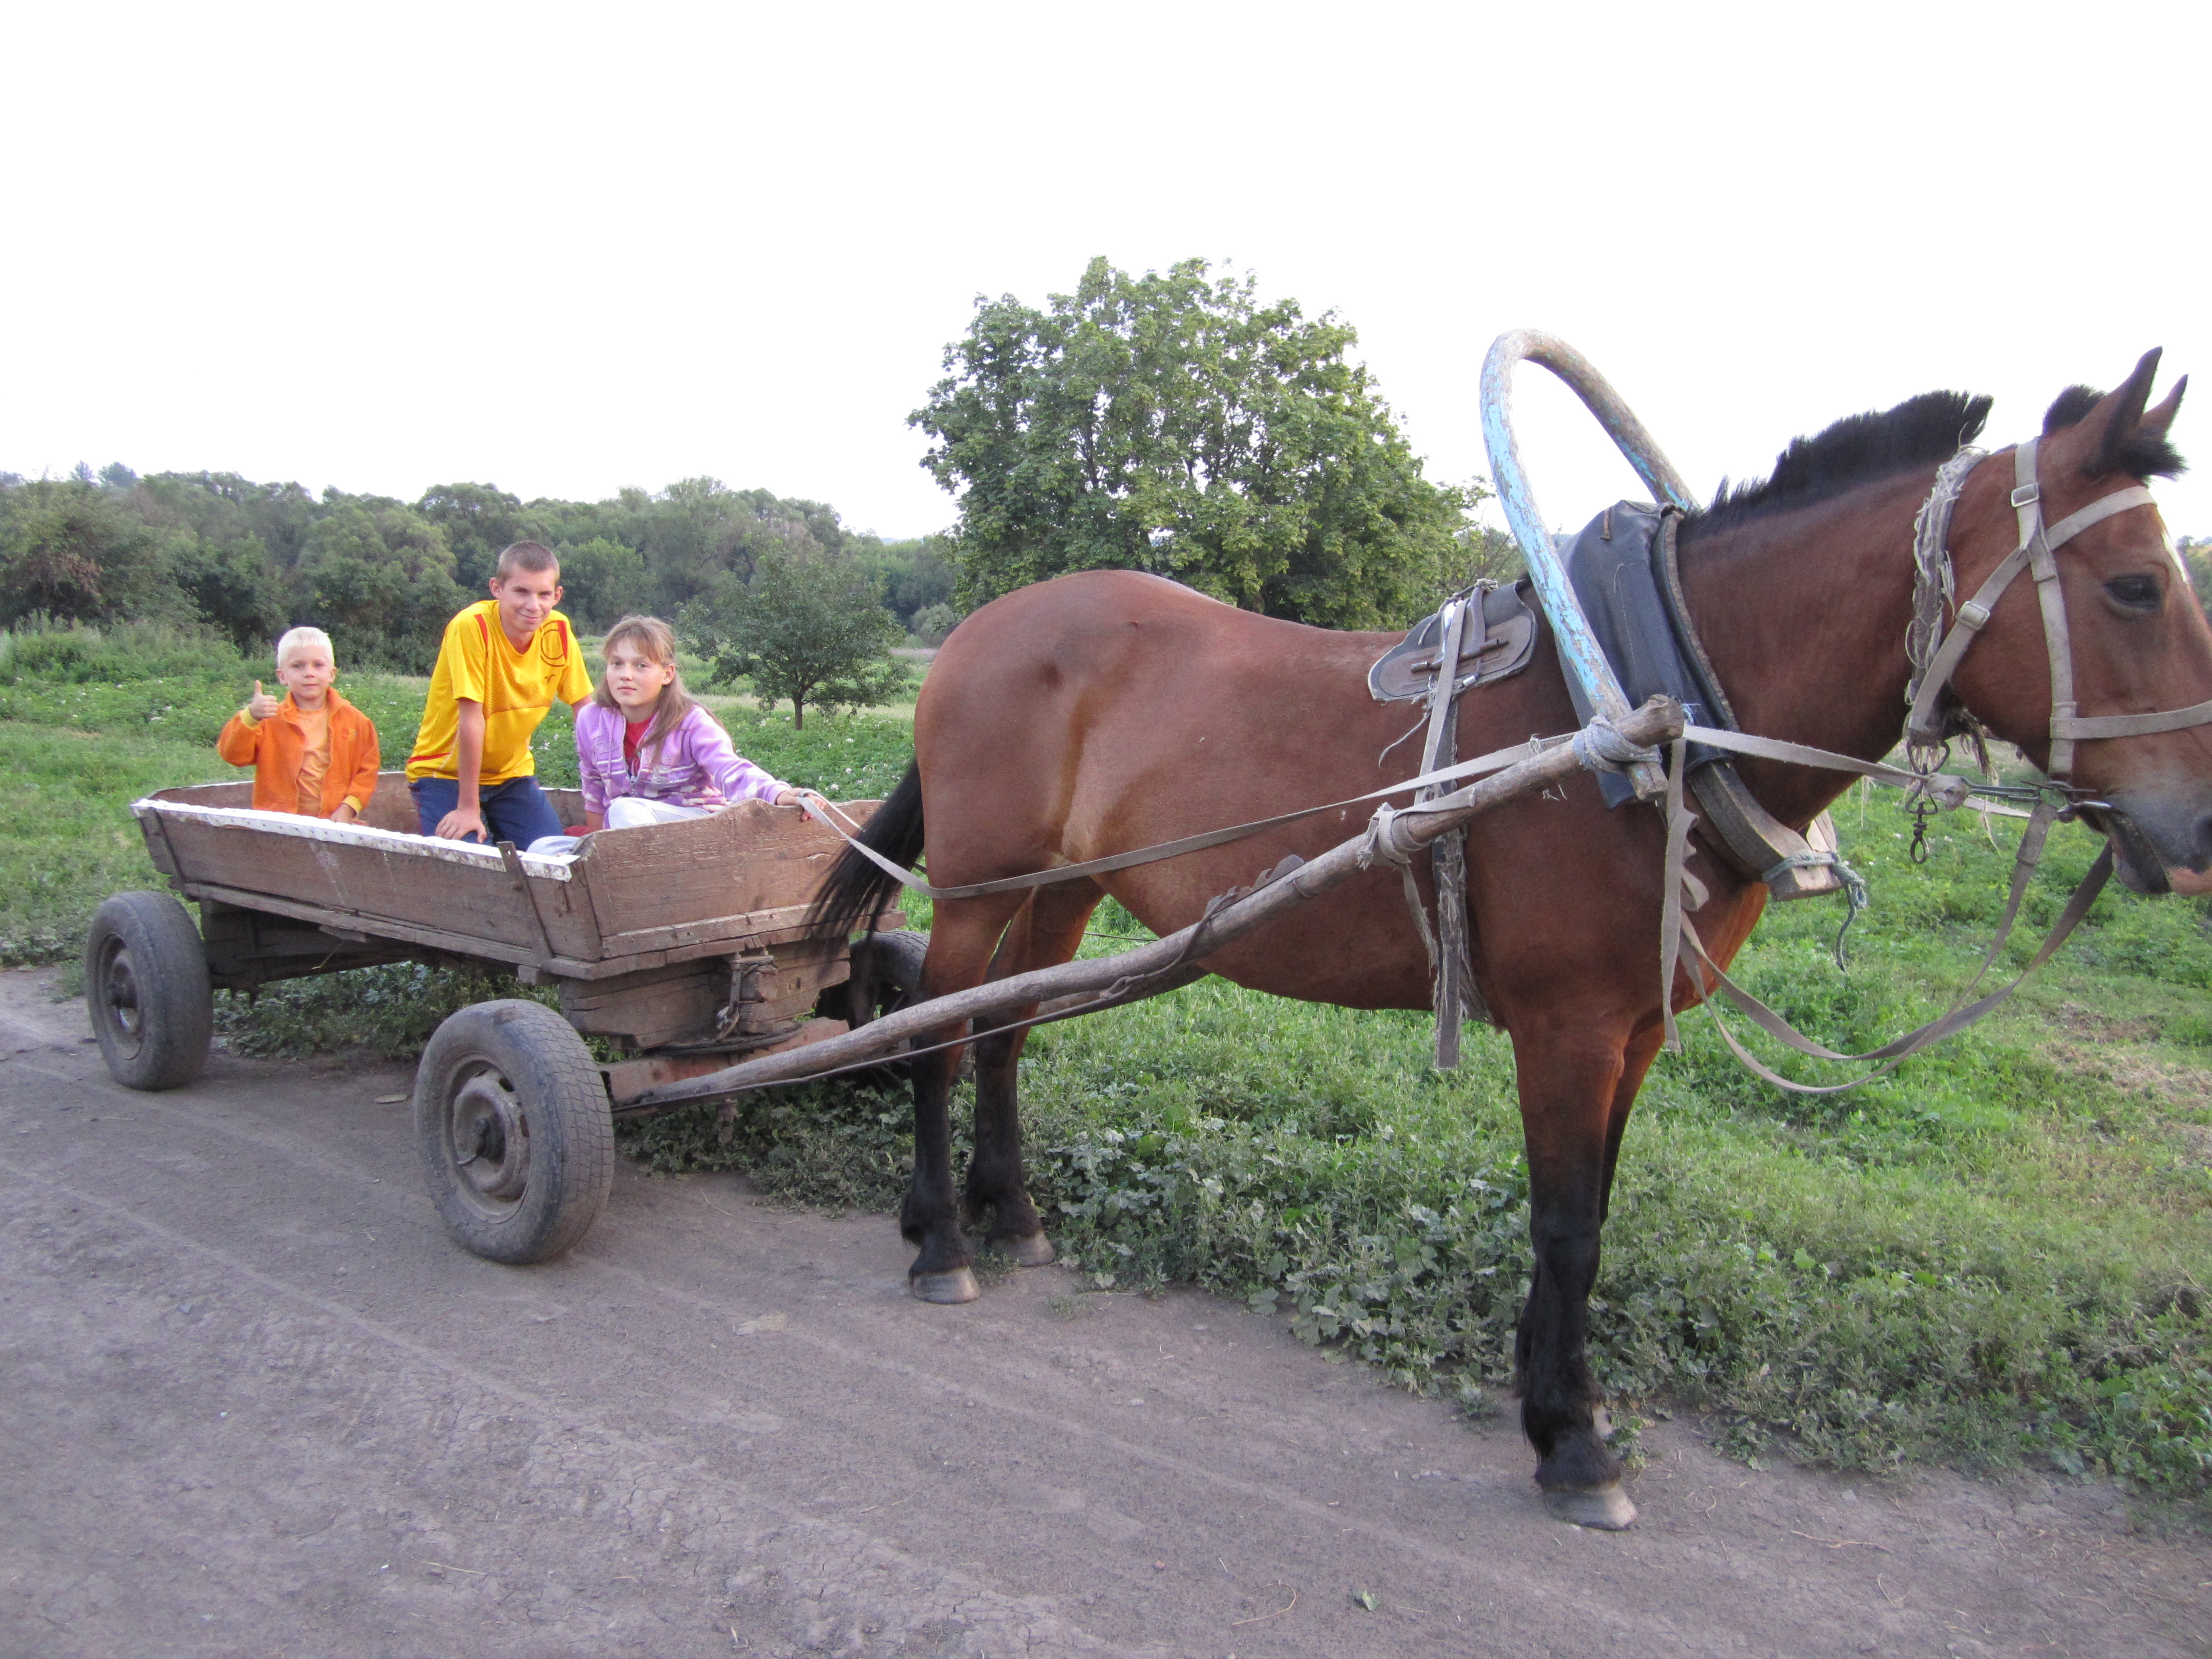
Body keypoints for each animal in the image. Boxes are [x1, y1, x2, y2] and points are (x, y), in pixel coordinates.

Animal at [814, 354, 2194, 1530]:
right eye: (2135, 584)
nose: (2199, 829)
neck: (1643, 710)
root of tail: (978, 630)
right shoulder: (1569, 1025)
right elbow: (1567, 1220)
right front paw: (1576, 1443)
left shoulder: (1636, 1027)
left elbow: (1593, 1208)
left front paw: (1549, 1392)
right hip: (981, 887)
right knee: (938, 1037)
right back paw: (940, 1239)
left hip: (1066, 890)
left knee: (1006, 1031)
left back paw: (1011, 1212)